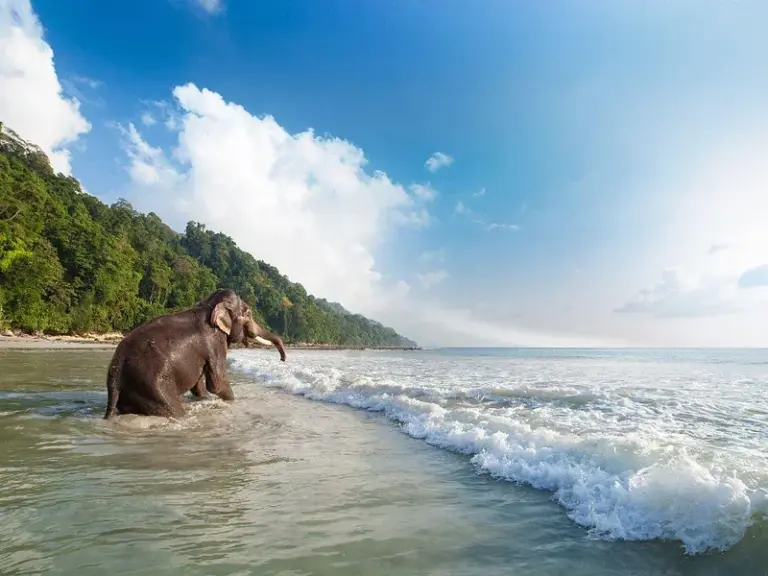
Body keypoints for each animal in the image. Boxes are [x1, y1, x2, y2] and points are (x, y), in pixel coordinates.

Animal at [103, 289, 287, 419]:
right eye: (248, 314)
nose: (283, 359)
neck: (209, 304)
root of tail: (115, 374)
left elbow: (199, 382)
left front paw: (205, 399)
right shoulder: (215, 341)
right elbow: (217, 383)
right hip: (152, 386)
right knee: (174, 410)